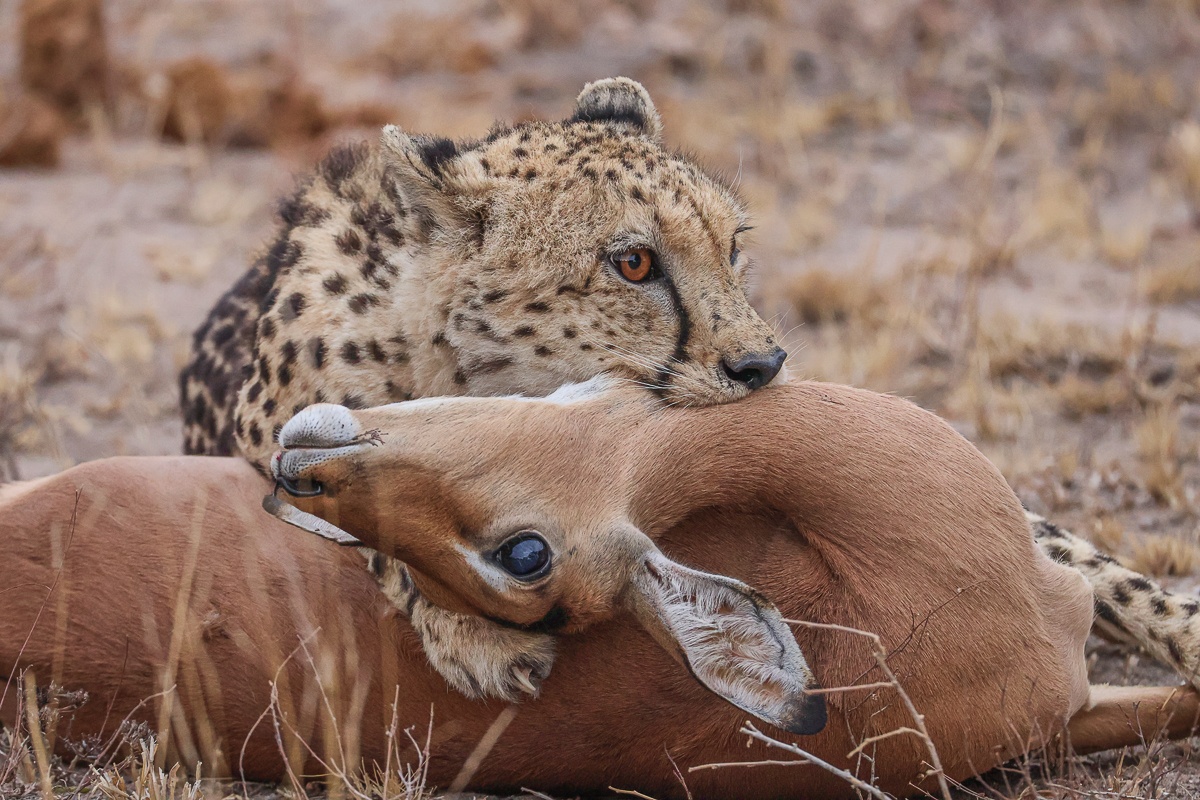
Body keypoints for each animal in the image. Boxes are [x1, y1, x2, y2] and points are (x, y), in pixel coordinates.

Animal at [181, 77, 1200, 703]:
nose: (762, 367)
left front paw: (1182, 628)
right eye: (632, 263)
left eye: (733, 245)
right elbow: (362, 516)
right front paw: (481, 634)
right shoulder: (275, 444)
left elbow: (1075, 549)